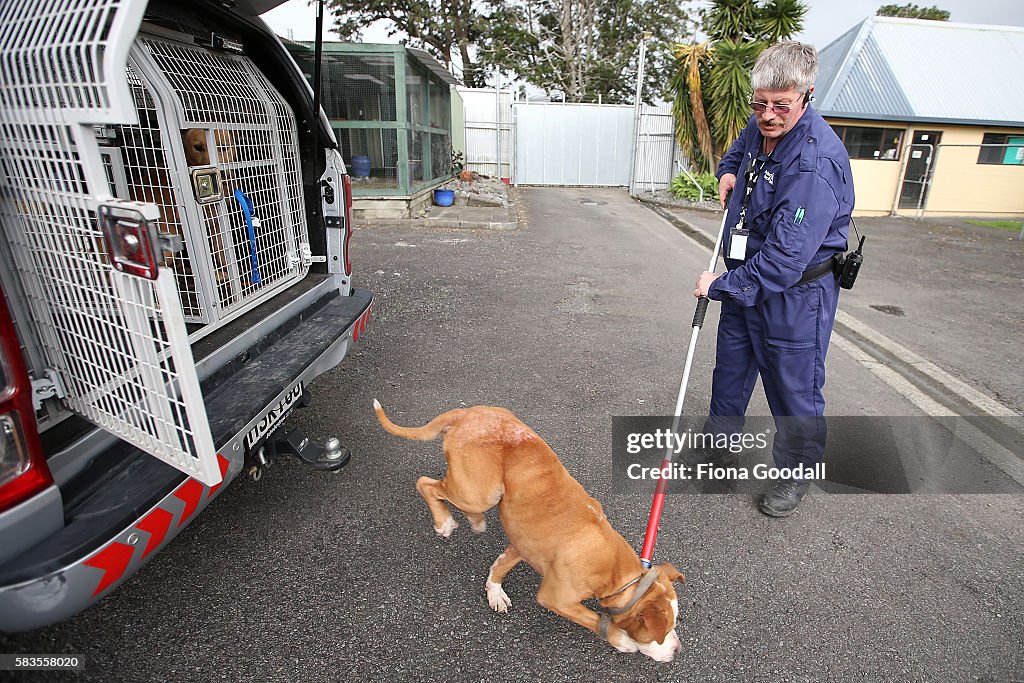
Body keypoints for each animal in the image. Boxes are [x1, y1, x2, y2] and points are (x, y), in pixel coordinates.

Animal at [372, 401, 684, 663]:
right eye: (661, 630)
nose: (678, 650)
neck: (616, 571)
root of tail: (469, 413)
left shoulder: (522, 545)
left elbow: (500, 566)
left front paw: (495, 592)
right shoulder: (556, 598)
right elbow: (592, 618)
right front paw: (620, 640)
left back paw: (474, 520)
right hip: (479, 492)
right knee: (425, 483)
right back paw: (444, 521)